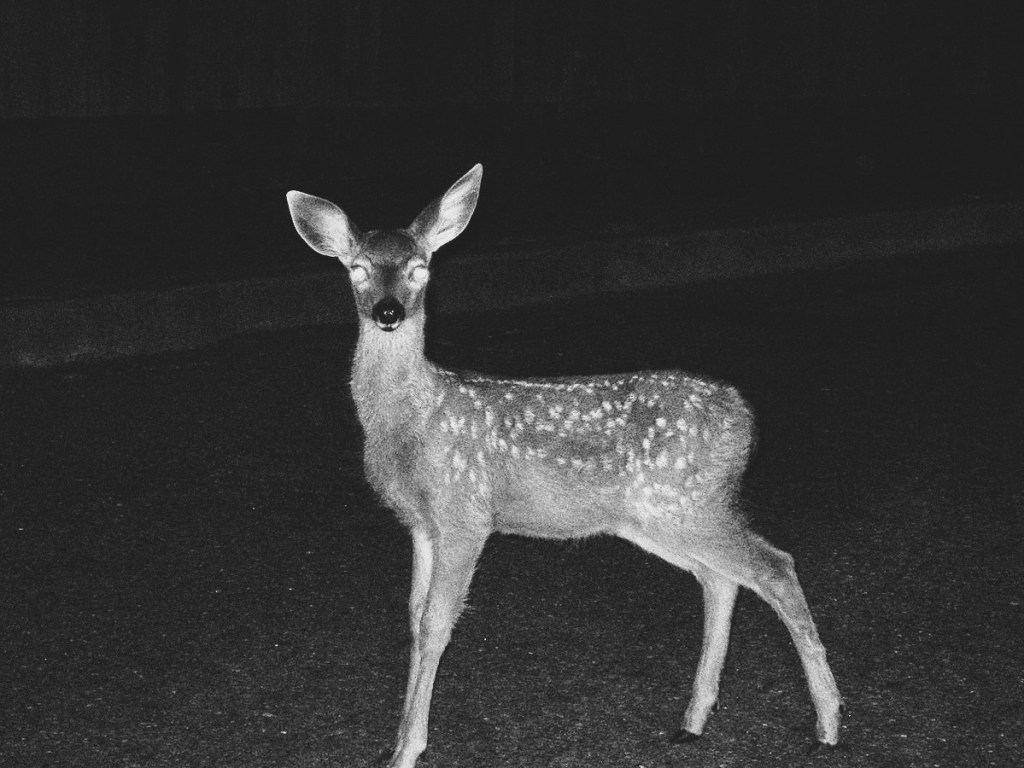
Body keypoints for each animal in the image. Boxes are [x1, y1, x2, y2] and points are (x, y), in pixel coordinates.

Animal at [286, 164, 842, 768]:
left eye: (420, 268)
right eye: (357, 268)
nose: (388, 312)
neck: (415, 422)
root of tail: (745, 420)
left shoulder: (465, 513)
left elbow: (437, 622)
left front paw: (409, 749)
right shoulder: (421, 525)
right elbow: (412, 615)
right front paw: (396, 739)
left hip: (684, 503)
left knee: (774, 566)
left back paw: (828, 722)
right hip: (659, 516)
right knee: (720, 578)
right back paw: (693, 720)